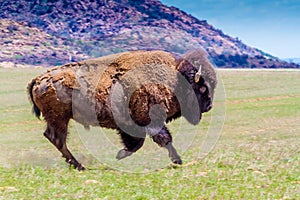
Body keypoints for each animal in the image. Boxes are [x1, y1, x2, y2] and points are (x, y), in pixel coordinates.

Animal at [27, 49, 216, 170]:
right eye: (202, 88)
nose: (209, 106)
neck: (175, 78)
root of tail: (39, 79)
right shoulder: (150, 120)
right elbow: (164, 138)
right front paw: (178, 161)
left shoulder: (132, 125)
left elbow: (136, 143)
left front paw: (119, 154)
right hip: (60, 119)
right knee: (57, 139)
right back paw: (79, 166)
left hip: (59, 119)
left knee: (54, 138)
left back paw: (78, 165)